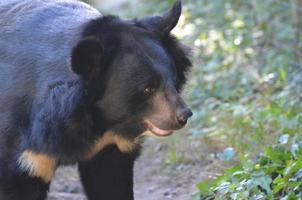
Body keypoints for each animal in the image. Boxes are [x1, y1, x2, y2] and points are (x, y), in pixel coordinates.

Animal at [0, 0, 192, 200]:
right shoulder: (25, 147)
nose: (184, 116)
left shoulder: (108, 148)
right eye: (148, 88)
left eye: (173, 79)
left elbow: (111, 184)